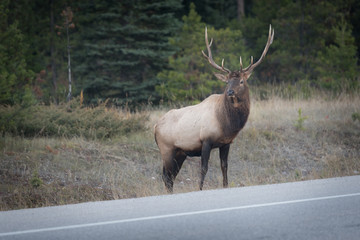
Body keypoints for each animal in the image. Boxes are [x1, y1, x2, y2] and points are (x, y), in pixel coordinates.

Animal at [153, 25, 274, 192]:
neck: (227, 123)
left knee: (170, 177)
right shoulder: (206, 140)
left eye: (241, 81)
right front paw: (200, 189)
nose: (230, 92)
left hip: (180, 152)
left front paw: (225, 186)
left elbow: (224, 167)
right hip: (166, 149)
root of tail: (155, 127)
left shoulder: (226, 143)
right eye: (227, 82)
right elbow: (204, 168)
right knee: (166, 176)